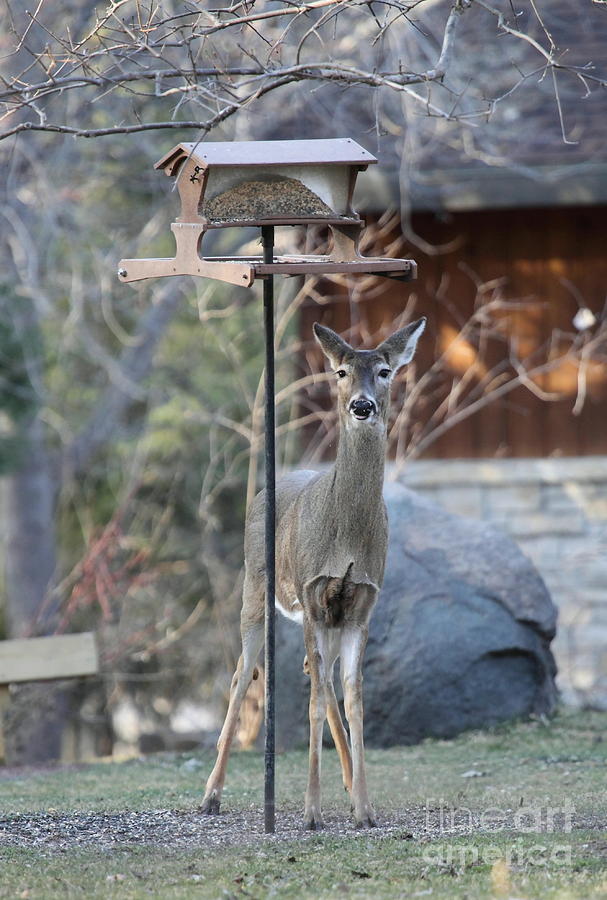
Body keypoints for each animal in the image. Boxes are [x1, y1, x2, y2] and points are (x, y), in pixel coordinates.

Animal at [202, 316, 426, 828]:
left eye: (385, 371)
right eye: (340, 371)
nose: (361, 405)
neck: (345, 540)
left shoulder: (361, 602)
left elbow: (354, 695)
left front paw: (364, 808)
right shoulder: (310, 591)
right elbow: (312, 702)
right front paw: (311, 811)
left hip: (321, 614)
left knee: (318, 676)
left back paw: (346, 781)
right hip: (256, 588)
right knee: (242, 675)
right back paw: (210, 795)